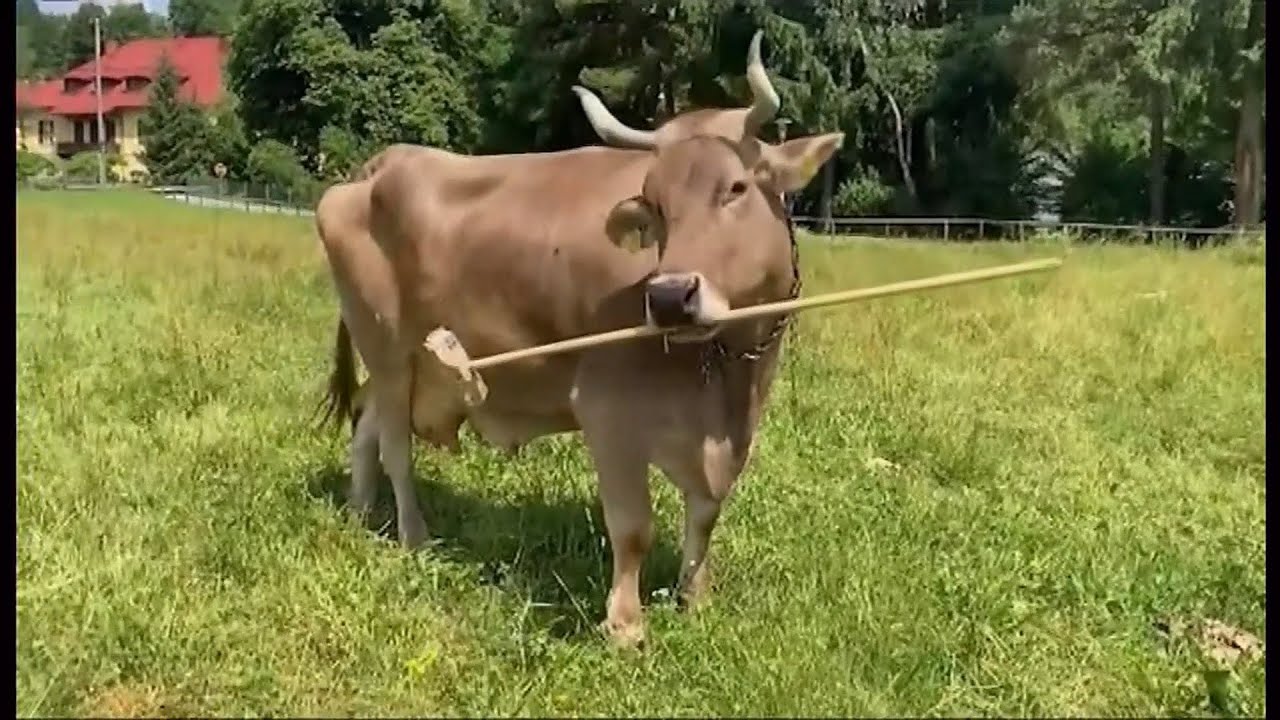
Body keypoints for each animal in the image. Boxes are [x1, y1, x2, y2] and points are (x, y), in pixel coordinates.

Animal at [314, 32, 843, 647]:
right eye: (655, 207)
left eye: (735, 187)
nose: (669, 298)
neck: (729, 373)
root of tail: (381, 165)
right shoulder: (607, 412)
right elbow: (633, 527)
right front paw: (625, 626)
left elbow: (705, 513)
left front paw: (695, 600)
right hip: (388, 346)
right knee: (396, 446)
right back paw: (414, 535)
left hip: (407, 363)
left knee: (367, 425)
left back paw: (358, 512)